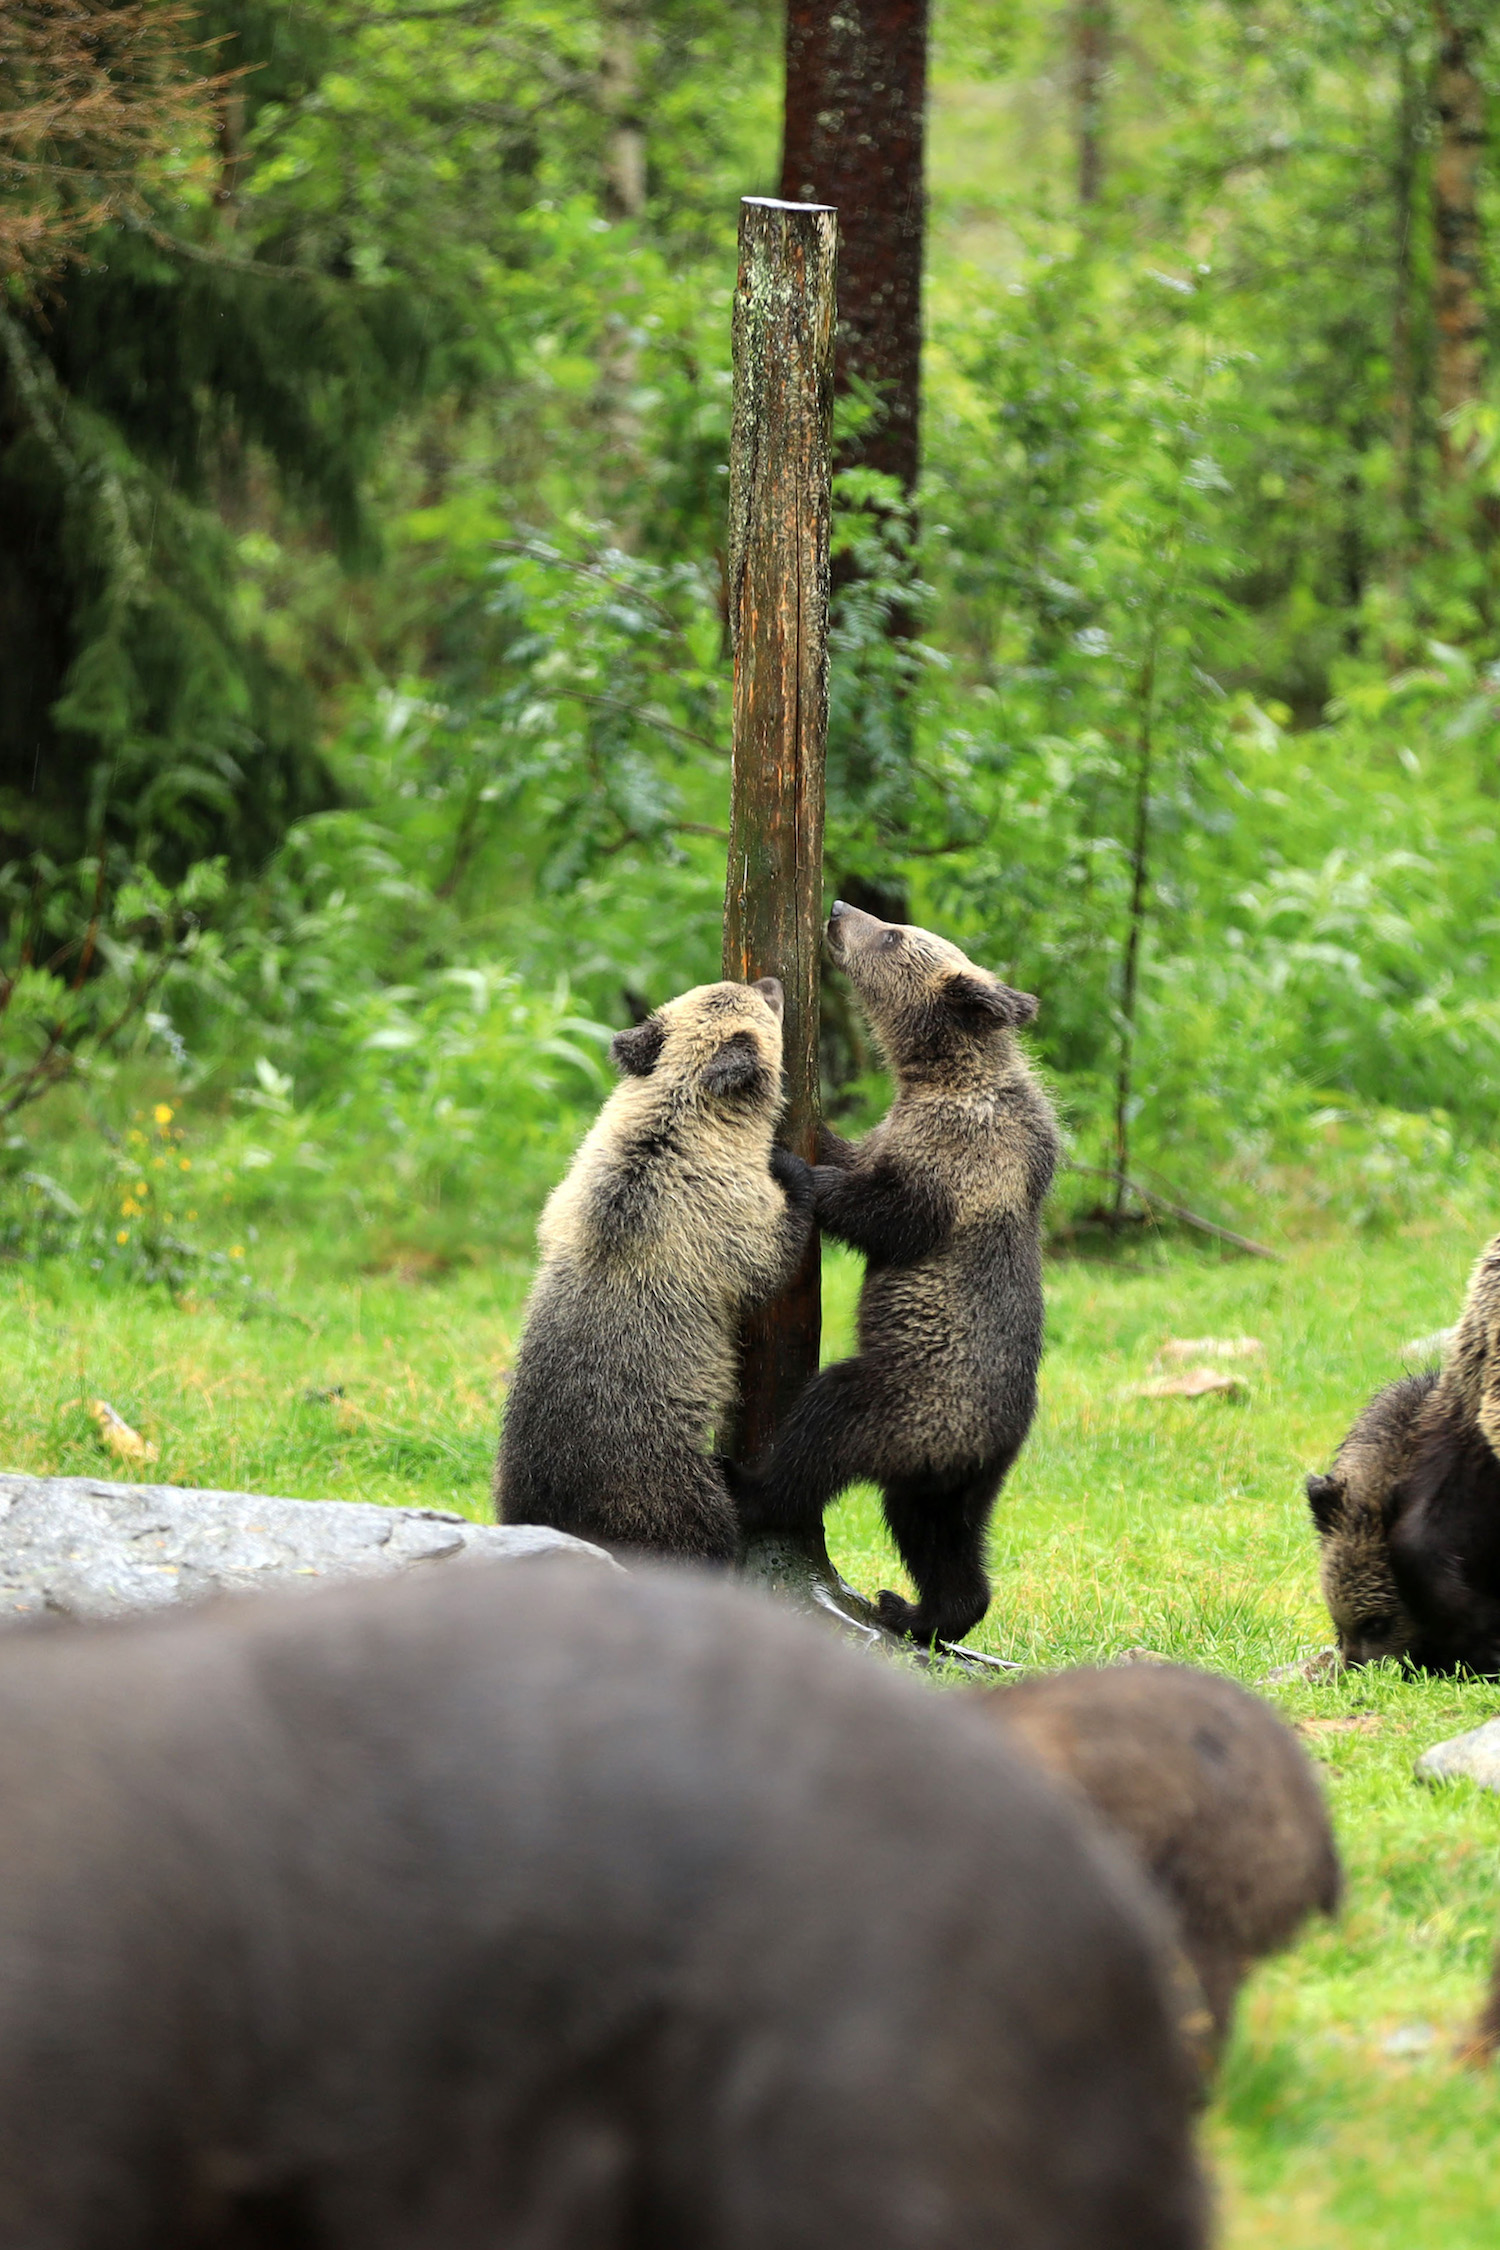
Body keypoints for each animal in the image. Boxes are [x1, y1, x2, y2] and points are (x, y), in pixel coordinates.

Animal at [494, 976, 809, 1557]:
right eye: (763, 1003)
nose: (769, 980)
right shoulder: (720, 1216)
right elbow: (769, 1261)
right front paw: (794, 1171)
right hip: (671, 1489)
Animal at [737, 900, 1061, 1656]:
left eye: (892, 934)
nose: (838, 908)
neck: (940, 1076)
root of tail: (984, 1446)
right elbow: (858, 1155)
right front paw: (812, 1126)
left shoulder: (960, 1163)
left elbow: (889, 1215)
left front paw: (794, 1164)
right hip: (944, 1475)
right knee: (941, 1540)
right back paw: (918, 1611)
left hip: (907, 1398)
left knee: (823, 1431)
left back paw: (748, 1486)